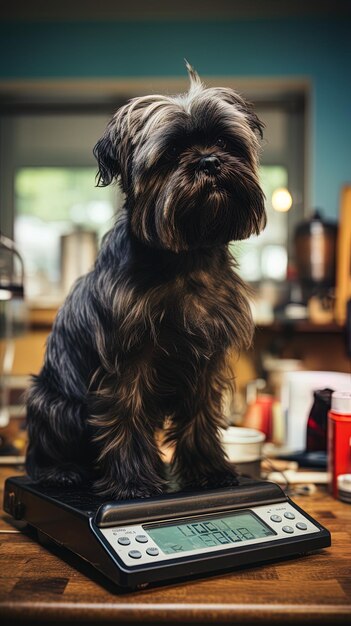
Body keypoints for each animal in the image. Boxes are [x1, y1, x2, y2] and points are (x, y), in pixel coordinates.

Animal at [25, 63, 266, 498]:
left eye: (224, 141)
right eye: (170, 153)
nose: (209, 161)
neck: (186, 260)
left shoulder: (207, 362)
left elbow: (201, 418)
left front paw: (210, 472)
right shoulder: (127, 361)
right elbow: (126, 419)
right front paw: (133, 483)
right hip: (52, 402)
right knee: (43, 454)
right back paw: (62, 472)